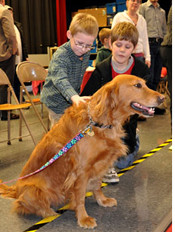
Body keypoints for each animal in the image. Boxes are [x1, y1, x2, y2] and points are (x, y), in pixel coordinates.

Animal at [0, 75, 164, 228]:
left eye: (145, 84)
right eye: (137, 85)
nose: (162, 98)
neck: (98, 123)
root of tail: (15, 190)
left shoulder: (100, 164)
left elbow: (97, 185)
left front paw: (102, 200)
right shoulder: (81, 171)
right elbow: (79, 198)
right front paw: (83, 218)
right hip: (34, 190)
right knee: (25, 205)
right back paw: (48, 212)